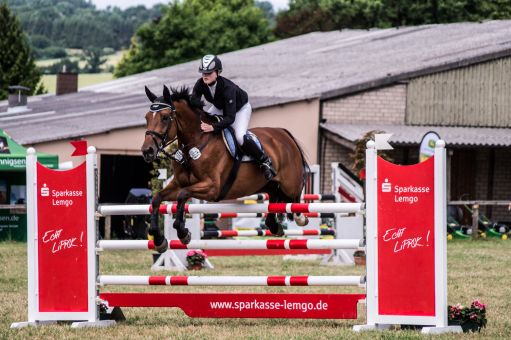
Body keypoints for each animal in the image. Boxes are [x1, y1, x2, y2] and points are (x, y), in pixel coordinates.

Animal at [142, 85, 310, 252]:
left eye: (165, 117)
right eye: (147, 118)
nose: (147, 151)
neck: (197, 142)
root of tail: (284, 134)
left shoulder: (212, 188)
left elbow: (182, 195)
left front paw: (183, 232)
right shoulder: (178, 183)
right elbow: (157, 199)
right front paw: (159, 239)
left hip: (290, 184)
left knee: (296, 197)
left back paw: (300, 218)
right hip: (269, 184)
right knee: (274, 199)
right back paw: (275, 226)